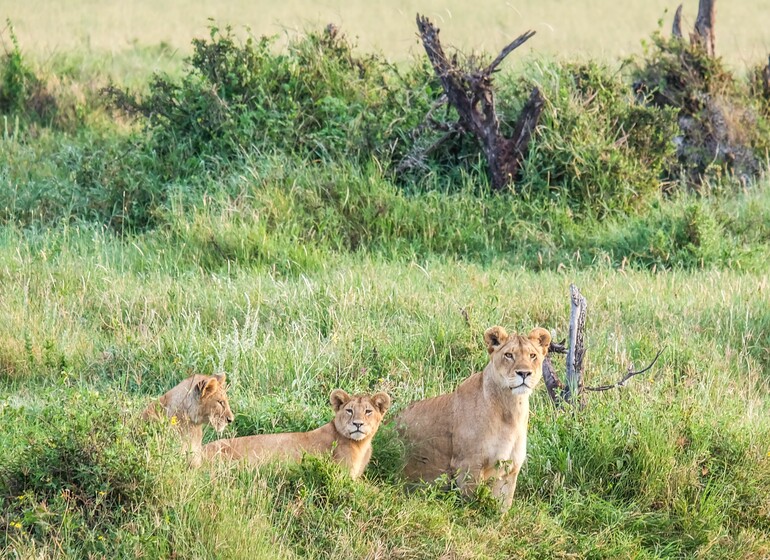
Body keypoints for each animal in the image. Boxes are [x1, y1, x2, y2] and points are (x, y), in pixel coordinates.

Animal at [392, 324, 548, 512]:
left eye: (532, 356)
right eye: (509, 355)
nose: (524, 373)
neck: (510, 411)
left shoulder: (509, 470)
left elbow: (502, 510)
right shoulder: (468, 464)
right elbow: (471, 506)